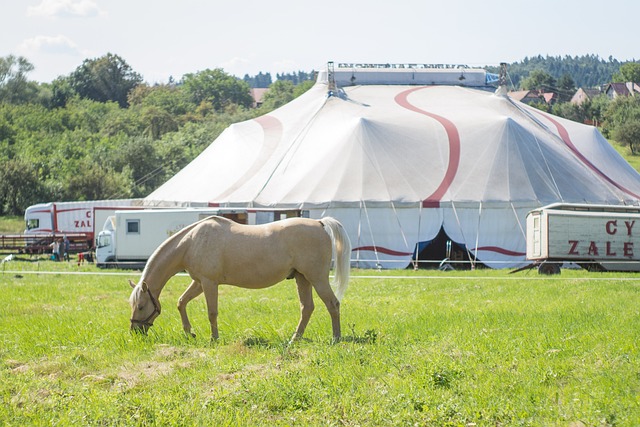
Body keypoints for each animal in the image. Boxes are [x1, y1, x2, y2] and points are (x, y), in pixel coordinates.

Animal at [128, 216, 352, 342]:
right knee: (307, 308)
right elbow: (181, 302)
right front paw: (189, 333)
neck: (191, 242)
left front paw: (214, 338)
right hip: (302, 278)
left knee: (333, 304)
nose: (135, 332)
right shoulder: (199, 282)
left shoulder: (209, 283)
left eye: (141, 306)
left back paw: (336, 338)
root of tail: (320, 223)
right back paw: (295, 339)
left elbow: (212, 313)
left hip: (317, 278)